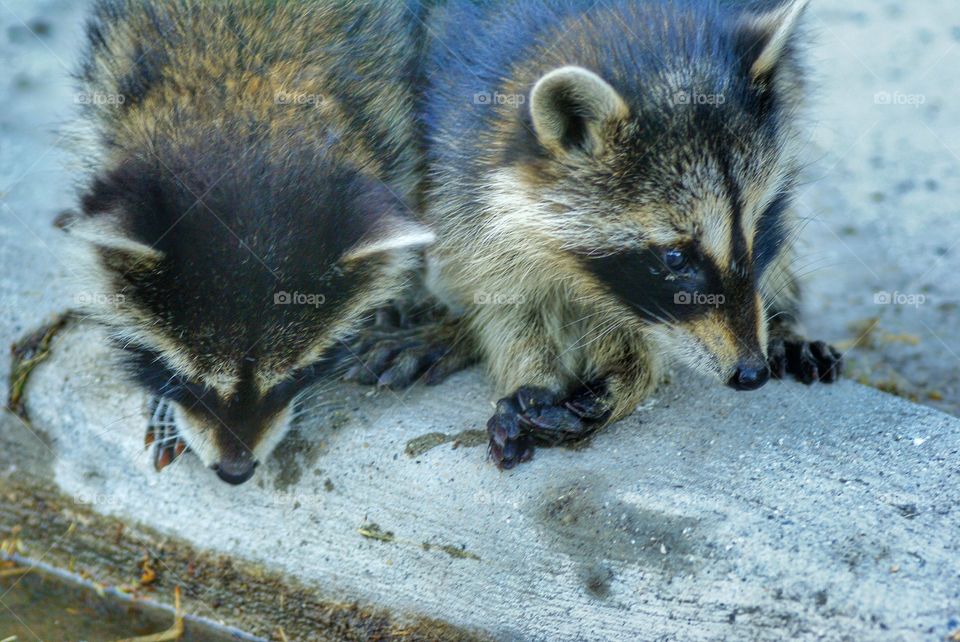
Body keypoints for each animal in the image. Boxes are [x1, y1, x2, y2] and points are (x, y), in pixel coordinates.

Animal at [64, 0, 432, 484]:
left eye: (294, 376)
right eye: (187, 380)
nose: (235, 472)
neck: (244, 87)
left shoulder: (384, 99)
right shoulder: (115, 68)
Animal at [415, 0, 843, 468]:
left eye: (760, 227)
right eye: (676, 258)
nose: (752, 372)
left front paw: (627, 374)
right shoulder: (463, 147)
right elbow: (500, 286)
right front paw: (531, 368)